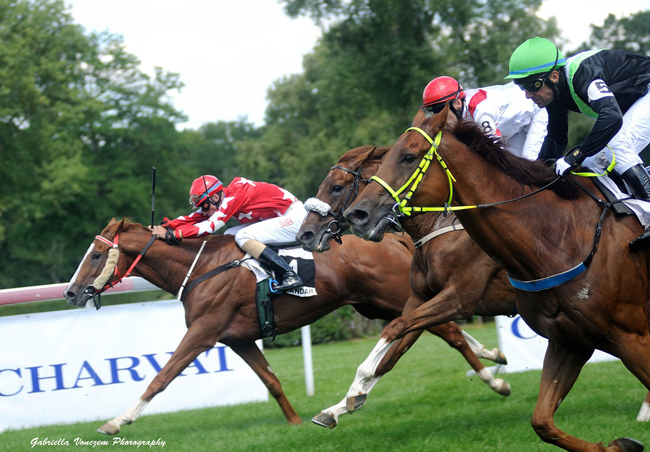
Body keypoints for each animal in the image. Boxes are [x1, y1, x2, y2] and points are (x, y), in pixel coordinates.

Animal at [63, 217, 502, 436]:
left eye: (97, 254)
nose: (70, 292)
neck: (201, 268)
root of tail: (395, 240)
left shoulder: (203, 333)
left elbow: (162, 376)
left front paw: (117, 421)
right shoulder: (237, 339)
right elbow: (271, 380)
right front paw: (293, 423)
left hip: (393, 298)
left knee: (446, 331)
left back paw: (494, 378)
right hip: (376, 305)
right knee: (438, 330)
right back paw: (492, 356)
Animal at [296, 146, 512, 428]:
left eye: (336, 187)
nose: (305, 235)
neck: (436, 228)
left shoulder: (458, 299)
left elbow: (393, 333)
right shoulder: (419, 301)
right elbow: (390, 357)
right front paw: (338, 407)